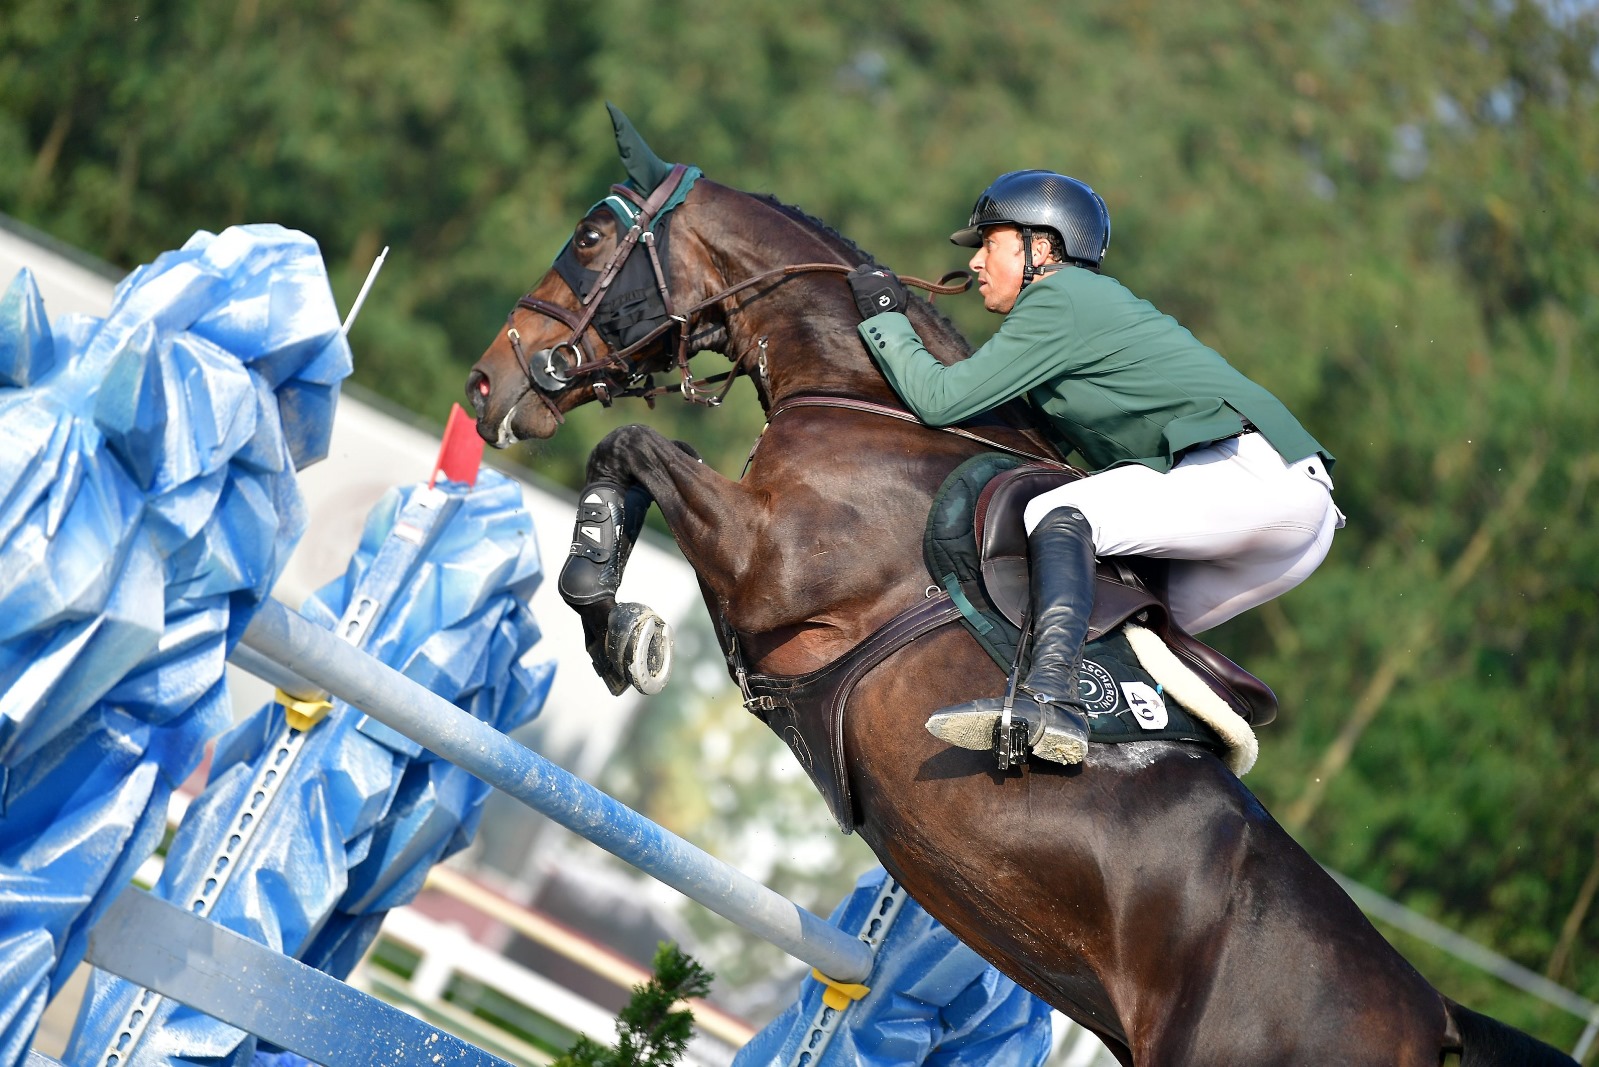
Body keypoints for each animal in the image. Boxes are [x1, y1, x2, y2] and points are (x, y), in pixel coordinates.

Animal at [463, 112, 1573, 1062]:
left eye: (594, 236)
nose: (487, 385)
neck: (867, 400)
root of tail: (1433, 1015)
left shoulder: (768, 564)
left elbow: (631, 445)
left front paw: (610, 617)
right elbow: (630, 455)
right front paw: (618, 625)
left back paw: (1033, 720)